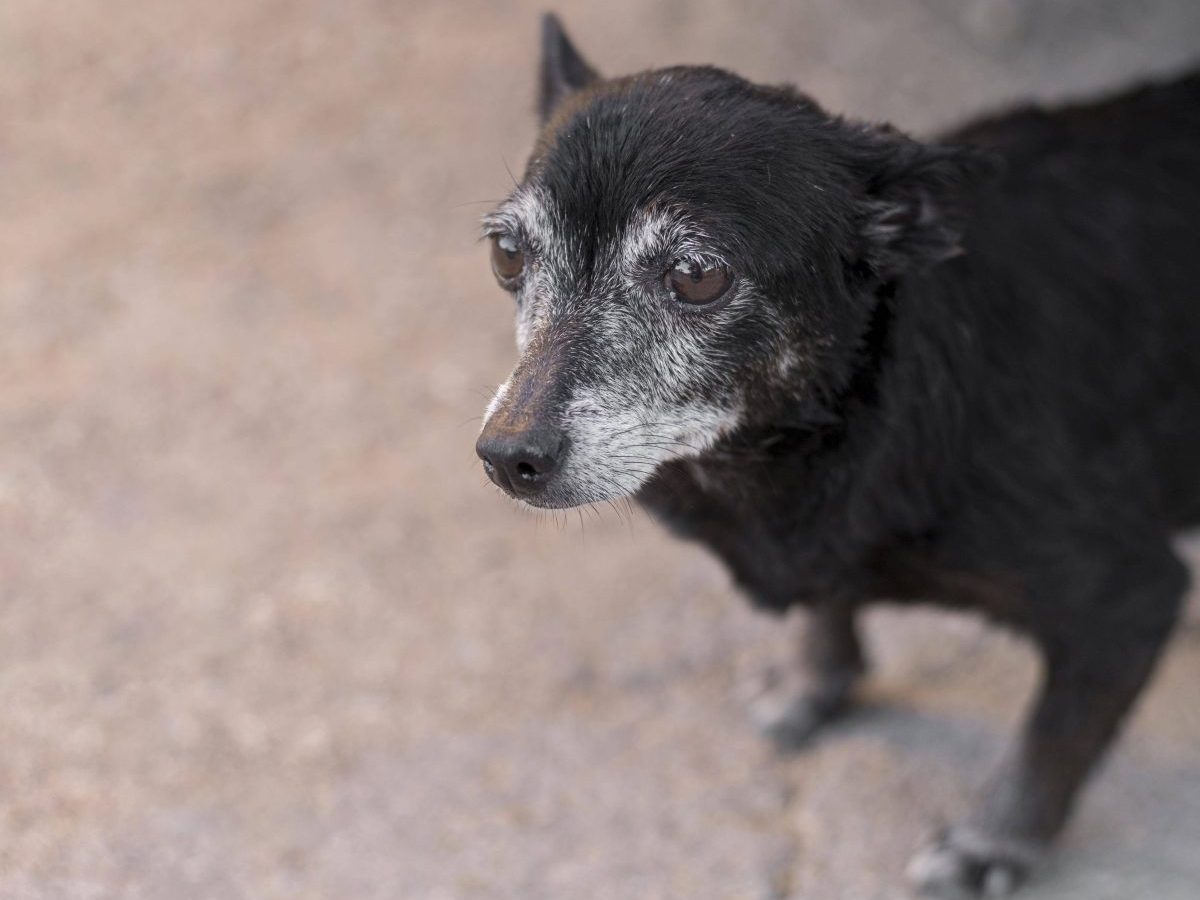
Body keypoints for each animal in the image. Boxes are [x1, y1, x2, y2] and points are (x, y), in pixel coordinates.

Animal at [472, 12, 1195, 897]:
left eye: (697, 274)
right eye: (508, 255)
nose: (507, 454)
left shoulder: (1128, 598)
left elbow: (1051, 741)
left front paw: (990, 843)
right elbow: (829, 606)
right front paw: (816, 683)